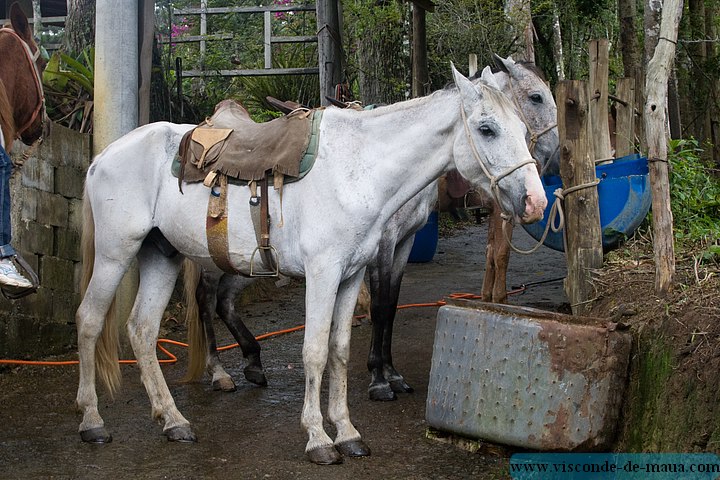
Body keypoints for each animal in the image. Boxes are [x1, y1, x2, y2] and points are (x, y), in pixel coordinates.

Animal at [76, 64, 544, 464]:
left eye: (522, 128)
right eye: (486, 128)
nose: (535, 202)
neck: (358, 171)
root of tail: (103, 157)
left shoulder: (352, 276)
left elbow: (339, 350)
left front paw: (348, 433)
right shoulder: (323, 275)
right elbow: (315, 351)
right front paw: (319, 439)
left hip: (162, 254)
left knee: (142, 329)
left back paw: (173, 420)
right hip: (118, 253)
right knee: (91, 320)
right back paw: (93, 422)